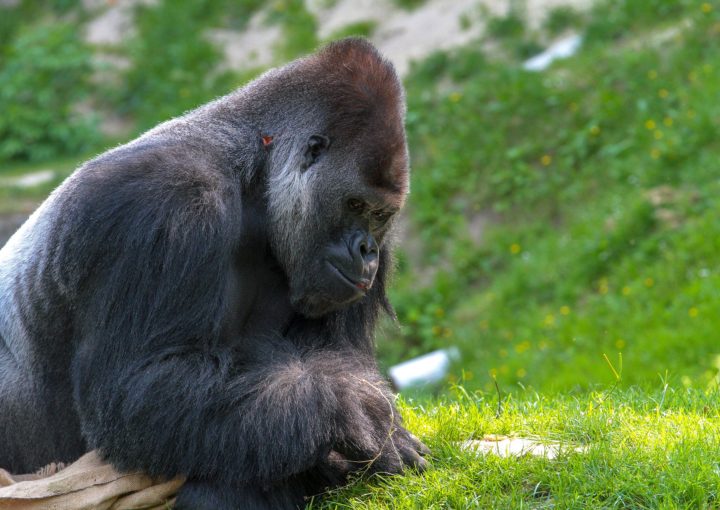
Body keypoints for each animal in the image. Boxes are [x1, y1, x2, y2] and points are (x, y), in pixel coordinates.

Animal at [0, 37, 428, 508]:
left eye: (380, 216)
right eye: (355, 205)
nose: (367, 251)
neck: (254, 176)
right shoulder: (166, 205)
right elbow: (137, 389)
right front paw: (350, 407)